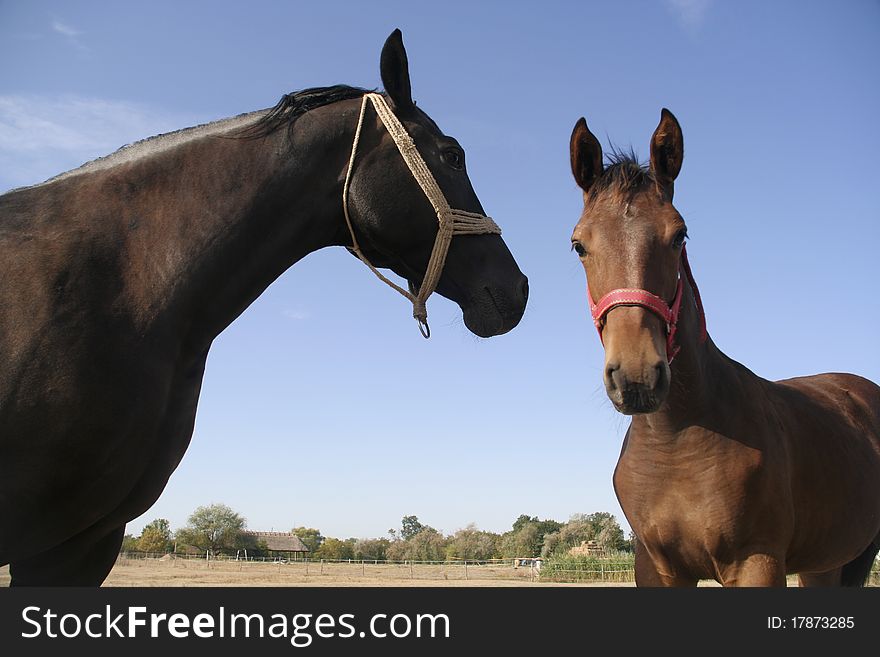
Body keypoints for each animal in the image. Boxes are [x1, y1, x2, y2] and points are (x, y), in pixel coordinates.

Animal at [568, 110, 880, 588]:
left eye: (679, 235)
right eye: (579, 244)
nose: (637, 376)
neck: (676, 441)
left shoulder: (757, 562)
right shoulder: (657, 568)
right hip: (825, 563)